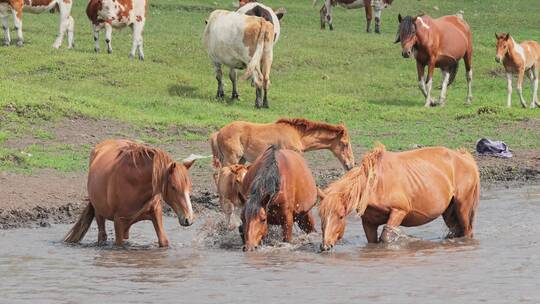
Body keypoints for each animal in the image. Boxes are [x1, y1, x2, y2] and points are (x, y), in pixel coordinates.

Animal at [65, 140, 196, 247]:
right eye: (174, 187)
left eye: (190, 186)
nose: (188, 219)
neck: (135, 183)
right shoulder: (118, 221)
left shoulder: (156, 213)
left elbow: (163, 241)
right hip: (99, 213)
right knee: (102, 235)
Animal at [210, 117, 354, 171]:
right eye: (345, 144)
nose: (351, 165)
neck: (297, 135)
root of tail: (218, 133)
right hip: (231, 159)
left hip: (241, 160)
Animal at [318, 145, 478, 252]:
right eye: (321, 217)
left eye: (340, 216)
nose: (325, 246)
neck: (374, 184)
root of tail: (465, 157)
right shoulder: (369, 223)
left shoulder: (399, 211)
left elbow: (386, 237)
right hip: (449, 211)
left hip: (463, 206)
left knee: (467, 232)